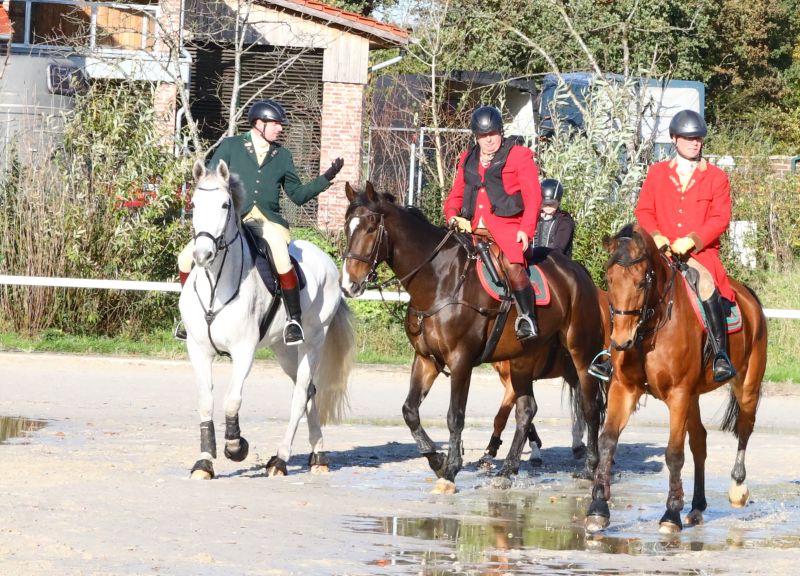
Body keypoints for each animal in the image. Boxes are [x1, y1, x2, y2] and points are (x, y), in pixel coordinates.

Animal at [179, 160, 355, 480]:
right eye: (194, 203)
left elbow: (232, 400)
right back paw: (318, 455)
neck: (215, 286)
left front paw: (236, 447)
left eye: (225, 204)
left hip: (312, 342)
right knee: (309, 391)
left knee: (300, 394)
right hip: (283, 349)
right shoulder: (198, 350)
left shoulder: (243, 350)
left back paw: (281, 460)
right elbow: (206, 402)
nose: (202, 254)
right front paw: (204, 462)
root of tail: (327, 260)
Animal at [484, 288, 611, 467]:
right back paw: (578, 444)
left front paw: (491, 450)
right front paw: (535, 449)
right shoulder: (510, 381)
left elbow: (501, 416)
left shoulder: (512, 381)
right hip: (573, 371)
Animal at [585, 223, 768, 533]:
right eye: (609, 280)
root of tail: (748, 296)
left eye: (641, 283)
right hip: (693, 396)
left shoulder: (678, 394)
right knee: (700, 442)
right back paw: (697, 506)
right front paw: (598, 508)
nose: (621, 341)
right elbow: (608, 441)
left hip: (746, 386)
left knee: (744, 428)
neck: (649, 329)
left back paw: (737, 488)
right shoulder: (624, 389)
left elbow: (673, 453)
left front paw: (671, 513)